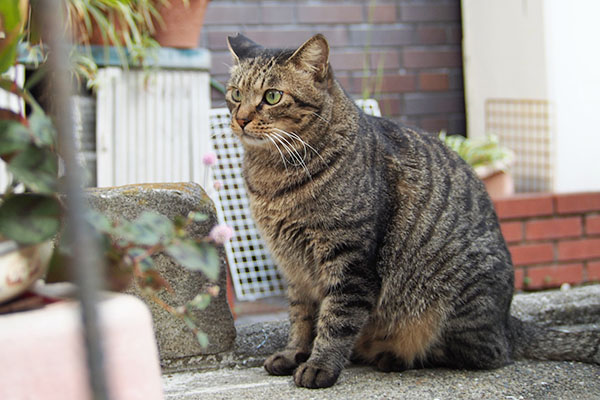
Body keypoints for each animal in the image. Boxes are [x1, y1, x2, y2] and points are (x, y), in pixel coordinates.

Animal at [225, 32, 600, 390]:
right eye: (235, 94)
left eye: (273, 96)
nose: (240, 119)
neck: (272, 176)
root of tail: (508, 322)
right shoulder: (295, 269)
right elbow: (301, 318)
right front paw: (294, 354)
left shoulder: (350, 260)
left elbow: (335, 320)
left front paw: (319, 366)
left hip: (454, 304)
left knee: (487, 354)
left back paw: (396, 357)